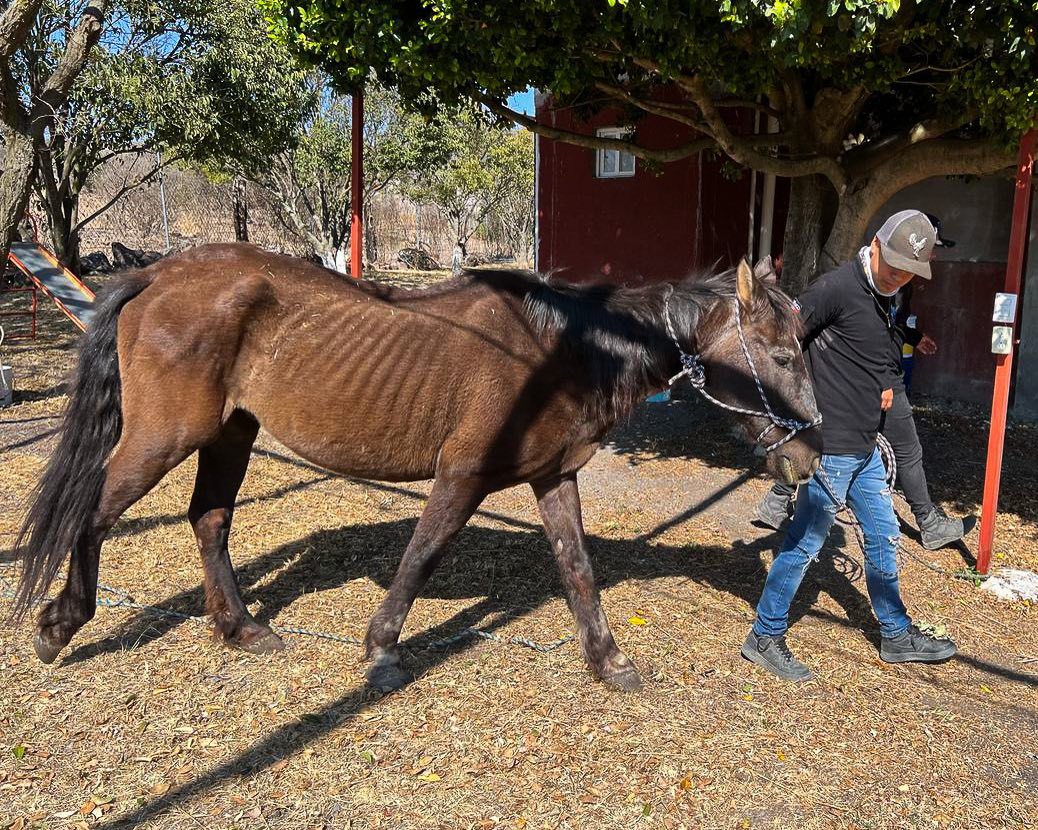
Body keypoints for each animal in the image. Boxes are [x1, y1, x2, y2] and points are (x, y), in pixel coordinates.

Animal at [13, 243, 821, 691]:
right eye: (783, 355)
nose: (810, 456)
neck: (557, 353)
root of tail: (156, 276)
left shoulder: (554, 479)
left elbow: (578, 571)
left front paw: (609, 662)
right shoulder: (462, 478)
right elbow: (421, 556)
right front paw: (381, 653)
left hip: (230, 434)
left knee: (208, 521)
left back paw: (241, 630)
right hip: (164, 437)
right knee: (94, 513)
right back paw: (60, 624)